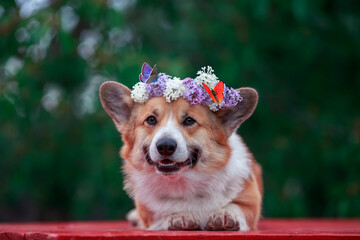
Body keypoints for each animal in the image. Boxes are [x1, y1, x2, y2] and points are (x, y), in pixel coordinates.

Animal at [98, 65, 262, 231]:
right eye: (151, 119)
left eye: (189, 120)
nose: (165, 146)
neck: (183, 182)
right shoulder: (150, 215)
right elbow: (164, 213)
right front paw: (180, 215)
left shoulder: (251, 204)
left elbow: (236, 207)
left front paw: (225, 215)